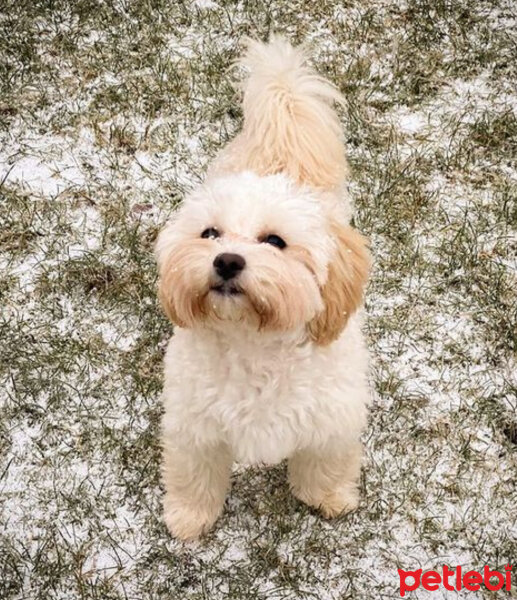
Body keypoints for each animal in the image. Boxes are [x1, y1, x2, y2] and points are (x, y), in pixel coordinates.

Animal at [155, 38, 368, 544]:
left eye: (275, 241)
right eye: (210, 233)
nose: (227, 260)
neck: (254, 343)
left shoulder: (332, 418)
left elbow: (324, 462)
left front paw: (328, 498)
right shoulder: (194, 424)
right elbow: (194, 473)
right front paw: (189, 517)